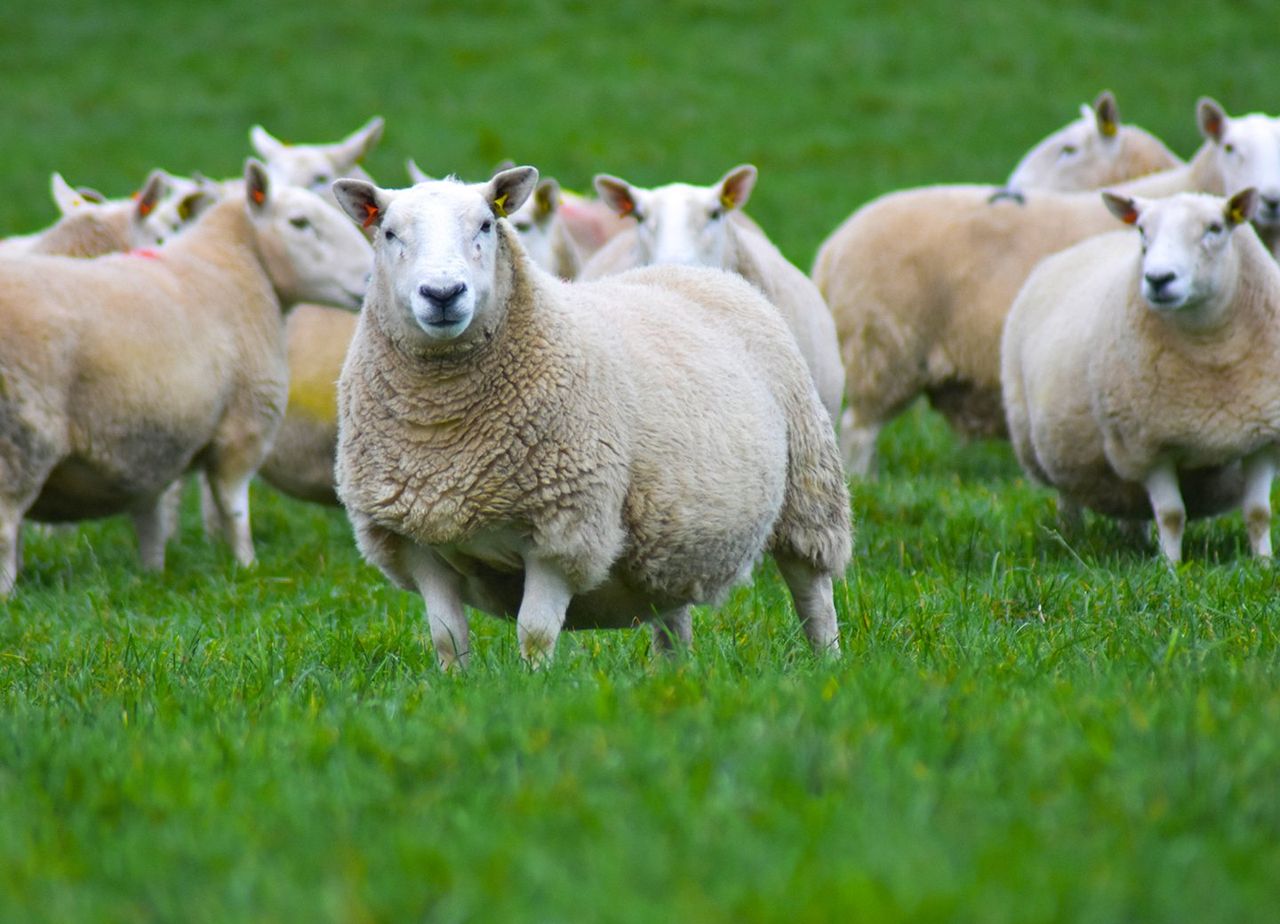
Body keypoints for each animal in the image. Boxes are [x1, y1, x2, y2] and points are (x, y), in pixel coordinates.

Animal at [0, 159, 372, 597]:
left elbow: (152, 519)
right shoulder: (243, 424)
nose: (368, 279)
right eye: (300, 222)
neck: (233, 265)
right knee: (7, 527)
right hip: (22, 438)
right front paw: (247, 567)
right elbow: (233, 508)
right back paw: (9, 595)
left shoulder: (154, 446)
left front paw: (152, 577)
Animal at [1001, 188, 1280, 563]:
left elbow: (1258, 512)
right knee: (1069, 499)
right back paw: (1072, 540)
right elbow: (1172, 514)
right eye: (1142, 231)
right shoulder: (1147, 445)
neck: (1210, 349)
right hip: (1051, 448)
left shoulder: (1261, 438)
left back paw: (1135, 540)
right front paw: (1171, 567)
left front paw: (1263, 563)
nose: (1158, 279)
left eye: (1215, 228)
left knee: (1132, 504)